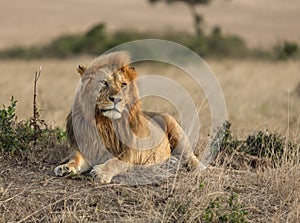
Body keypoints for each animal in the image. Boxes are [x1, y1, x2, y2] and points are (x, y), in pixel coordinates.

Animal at [54, 51, 204, 183]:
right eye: (104, 82)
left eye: (123, 85)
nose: (116, 99)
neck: (105, 123)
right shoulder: (87, 146)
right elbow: (76, 158)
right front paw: (65, 167)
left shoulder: (131, 154)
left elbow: (115, 162)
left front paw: (101, 172)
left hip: (176, 130)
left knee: (190, 156)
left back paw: (198, 167)